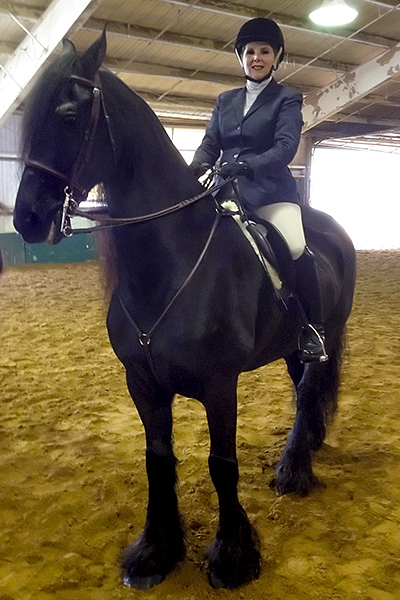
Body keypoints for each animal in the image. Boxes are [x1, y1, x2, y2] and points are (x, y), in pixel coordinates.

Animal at [12, 32, 356, 592]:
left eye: (67, 115)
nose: (27, 219)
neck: (171, 262)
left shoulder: (220, 384)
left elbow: (222, 465)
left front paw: (233, 557)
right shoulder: (142, 382)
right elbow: (158, 459)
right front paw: (155, 550)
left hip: (327, 331)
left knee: (308, 392)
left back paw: (294, 474)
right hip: (291, 347)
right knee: (303, 390)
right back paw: (301, 455)